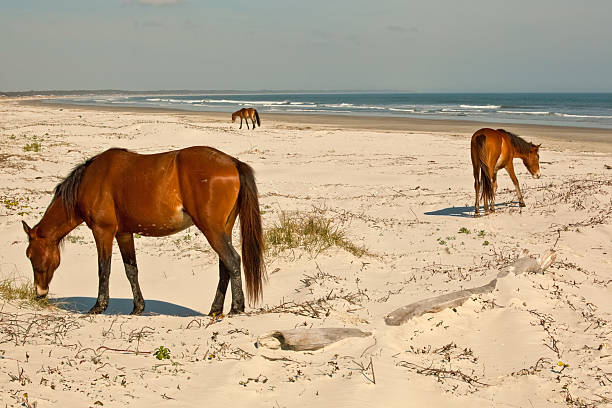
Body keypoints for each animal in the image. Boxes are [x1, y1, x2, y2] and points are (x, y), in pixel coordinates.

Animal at [20, 147, 266, 316]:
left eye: (30, 256)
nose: (39, 293)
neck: (90, 181)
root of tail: (233, 162)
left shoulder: (103, 232)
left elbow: (104, 269)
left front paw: (99, 306)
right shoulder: (123, 234)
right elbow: (131, 270)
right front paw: (138, 307)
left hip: (211, 229)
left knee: (232, 260)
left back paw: (236, 307)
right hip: (222, 229)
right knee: (225, 267)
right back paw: (215, 309)